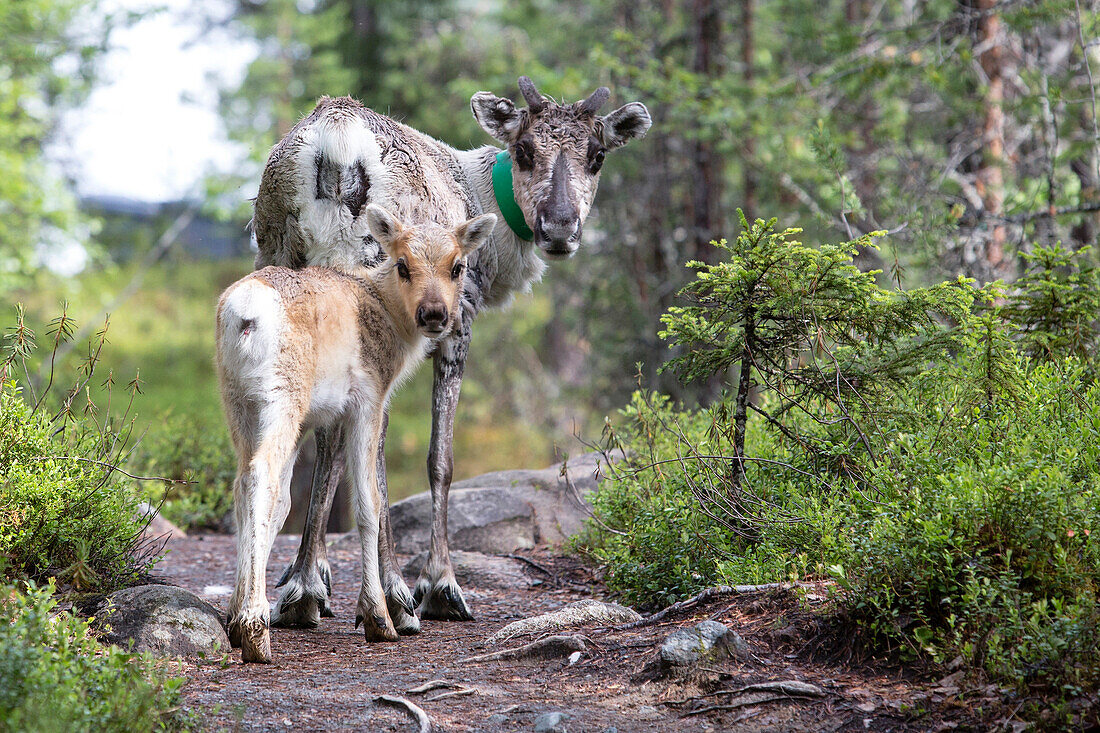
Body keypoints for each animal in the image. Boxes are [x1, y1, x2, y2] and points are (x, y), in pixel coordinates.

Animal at [216, 202, 492, 660]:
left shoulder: (319, 419)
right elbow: (368, 502)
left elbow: (286, 506)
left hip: (238, 403)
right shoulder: (367, 399)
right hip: (283, 397)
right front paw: (379, 616)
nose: (434, 314)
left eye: (458, 266)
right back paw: (256, 631)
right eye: (402, 264)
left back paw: (241, 619)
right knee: (259, 476)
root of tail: (245, 316)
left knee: (243, 484)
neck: (394, 325)